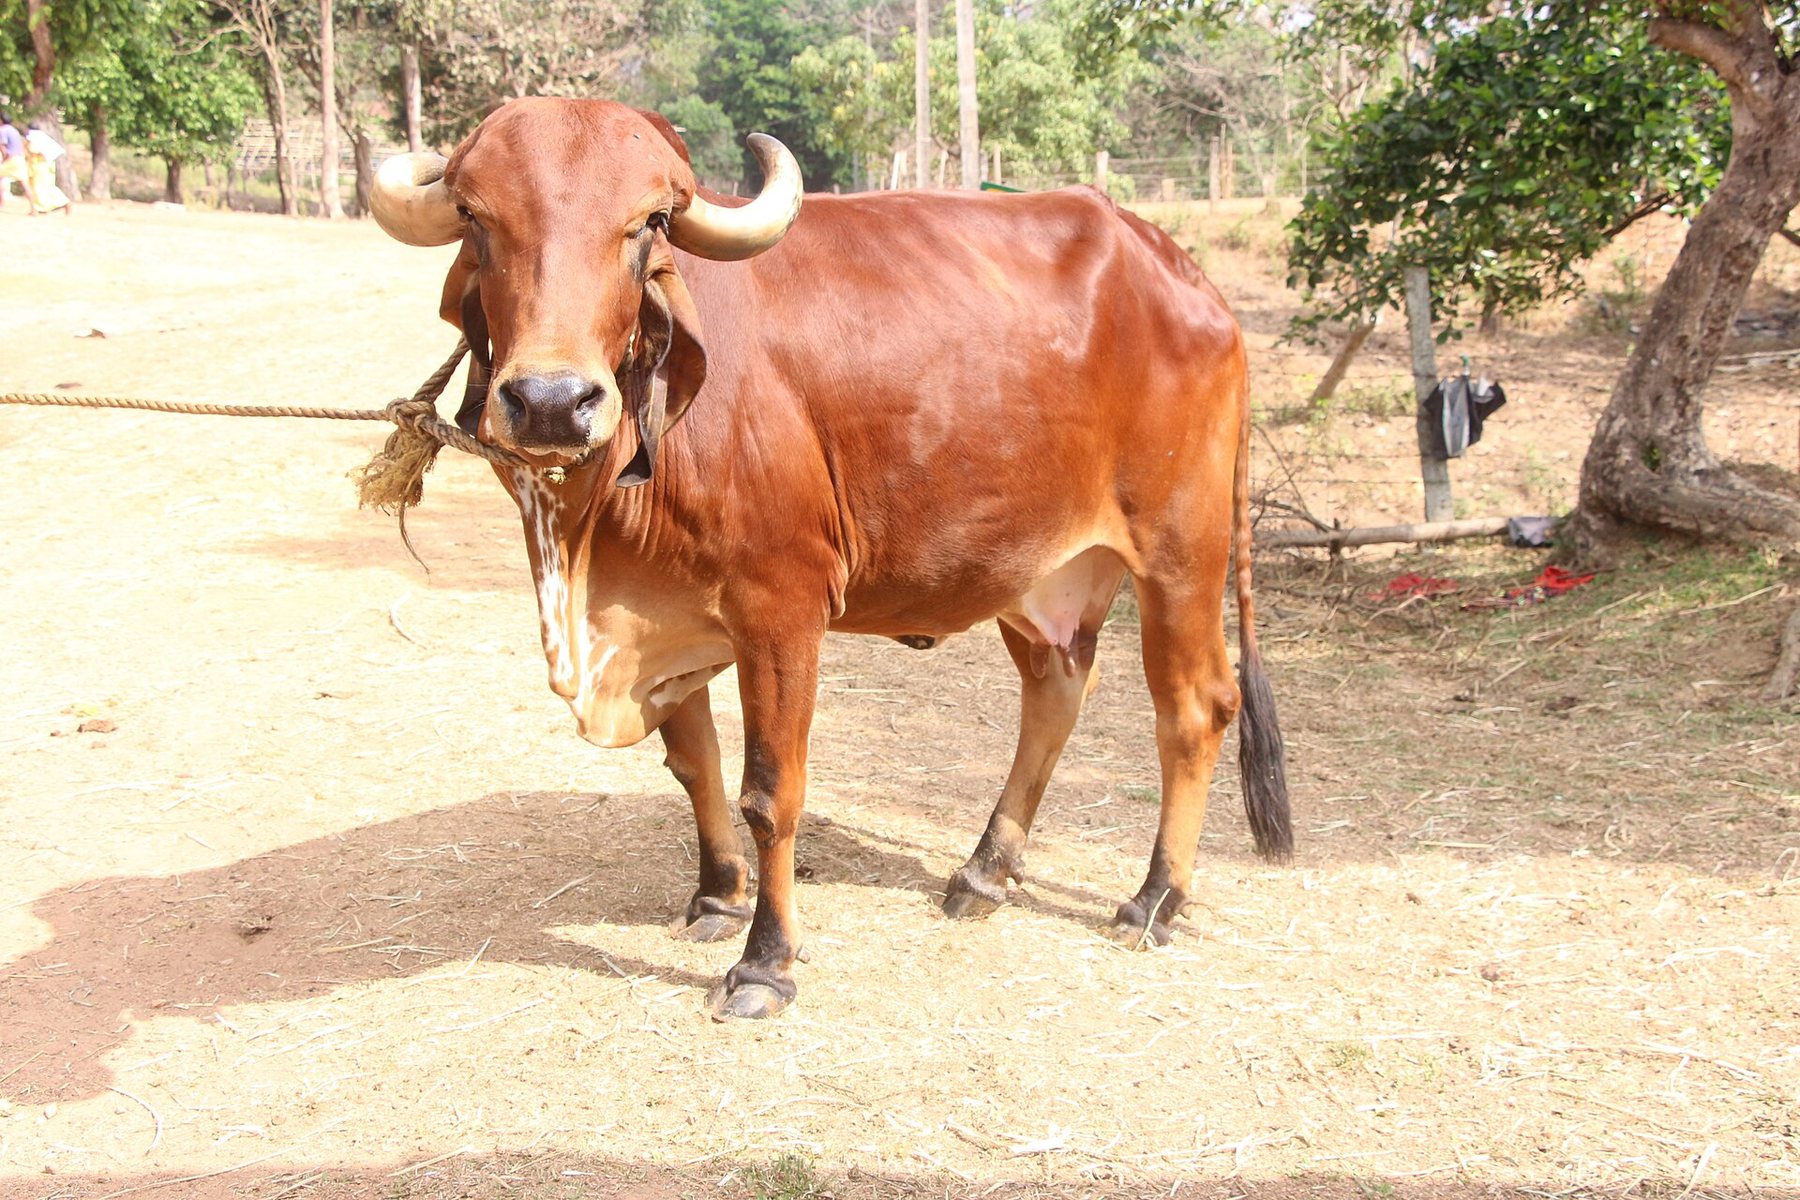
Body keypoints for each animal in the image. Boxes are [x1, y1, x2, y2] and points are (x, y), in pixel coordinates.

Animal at [369, 97, 1291, 1019]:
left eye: (648, 224)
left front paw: (765, 962)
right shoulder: (666, 615)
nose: (553, 403)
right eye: (476, 218)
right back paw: (984, 872)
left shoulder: (781, 611)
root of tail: (1183, 273)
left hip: (1180, 554)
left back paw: (1154, 899)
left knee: (1196, 708)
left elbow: (770, 793)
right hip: (1039, 574)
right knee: (1057, 693)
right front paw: (716, 896)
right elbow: (694, 764)